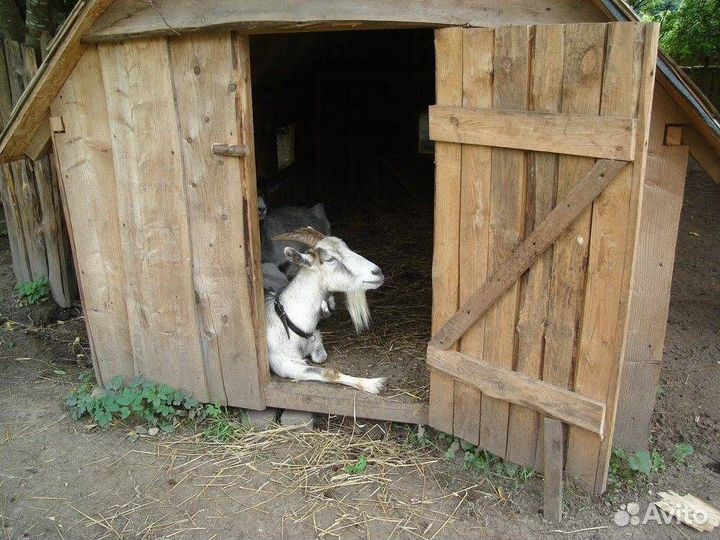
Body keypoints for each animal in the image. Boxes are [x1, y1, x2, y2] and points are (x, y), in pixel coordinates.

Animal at [265, 227, 387, 394]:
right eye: (329, 259)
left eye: (347, 248)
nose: (377, 272)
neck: (289, 322)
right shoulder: (284, 363)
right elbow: (329, 372)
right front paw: (373, 384)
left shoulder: (316, 338)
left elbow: (320, 357)